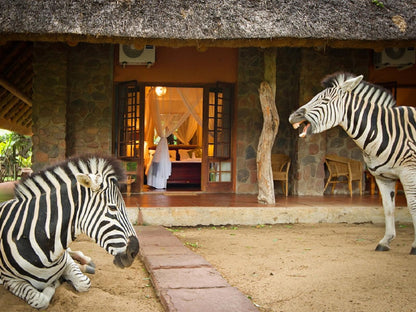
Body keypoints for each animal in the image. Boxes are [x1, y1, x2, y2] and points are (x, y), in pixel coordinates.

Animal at [0, 156, 140, 310]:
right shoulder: (10, 279)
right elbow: (39, 299)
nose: (135, 251)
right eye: (113, 208)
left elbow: (84, 282)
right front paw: (55, 284)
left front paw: (60, 280)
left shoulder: (67, 261)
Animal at [290, 73, 416, 256]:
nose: (293, 116)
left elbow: (412, 207)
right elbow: (388, 208)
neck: (383, 132)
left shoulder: (409, 173)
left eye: (325, 100)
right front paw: (385, 241)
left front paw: (414, 246)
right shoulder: (383, 177)